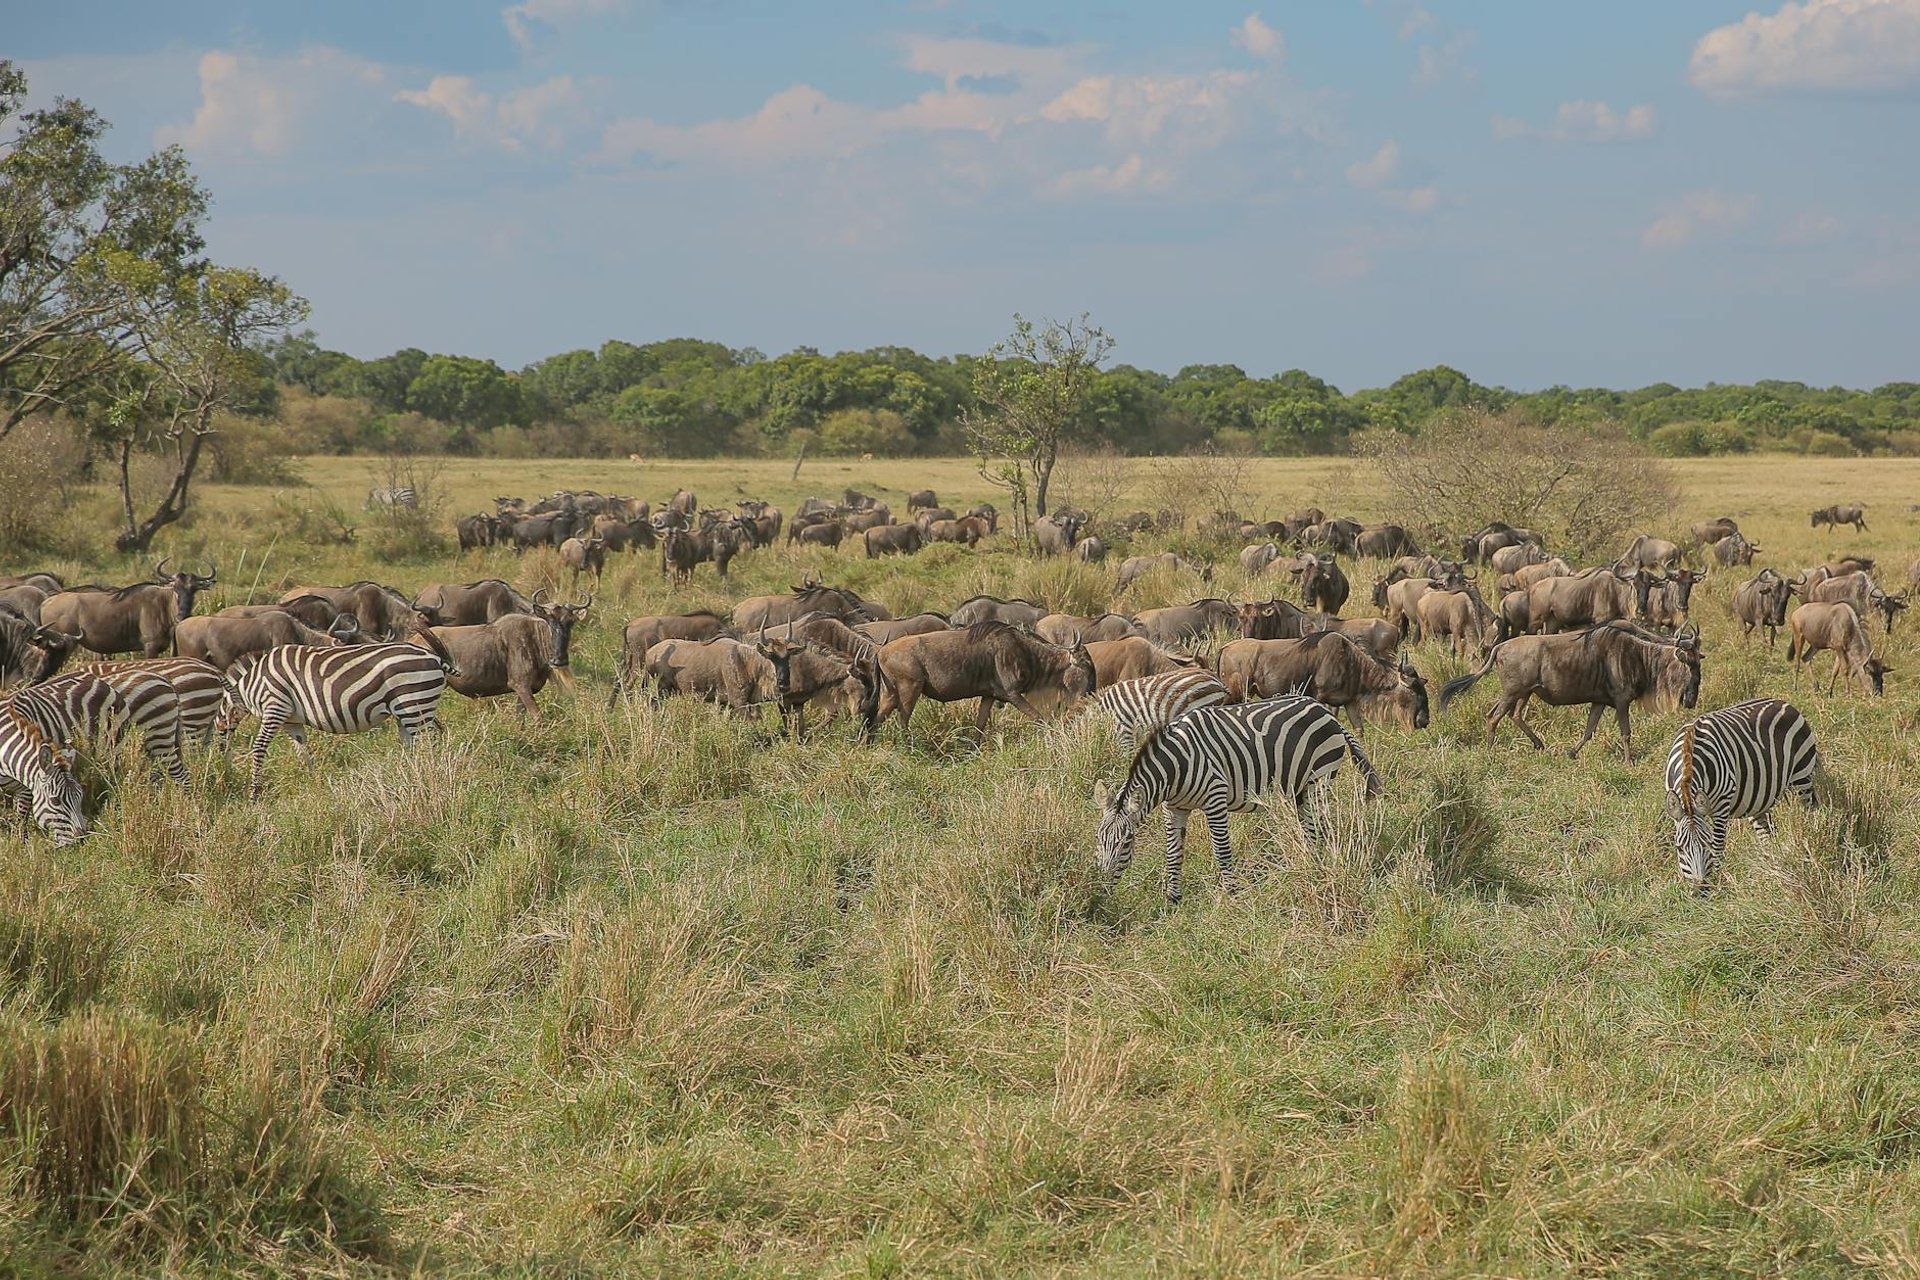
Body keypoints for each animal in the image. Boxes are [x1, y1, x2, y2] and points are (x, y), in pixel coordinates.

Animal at [0, 704, 86, 844]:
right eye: (55, 801)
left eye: (80, 796)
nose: (81, 841)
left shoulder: (24, 789)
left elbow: (21, 819)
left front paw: (21, 844)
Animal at [222, 635, 456, 798]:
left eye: (218, 712)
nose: (220, 758)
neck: (251, 684)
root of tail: (434, 657)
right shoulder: (291, 721)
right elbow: (302, 751)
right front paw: (313, 782)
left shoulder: (275, 707)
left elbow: (259, 747)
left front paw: (254, 793)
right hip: (413, 708)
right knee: (420, 743)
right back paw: (413, 776)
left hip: (413, 702)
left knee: (429, 745)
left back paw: (432, 776)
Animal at [1094, 694, 1381, 903]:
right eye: (1098, 838)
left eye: (1126, 842)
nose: (1100, 892)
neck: (1176, 766)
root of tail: (1327, 713)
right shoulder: (1174, 808)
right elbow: (1174, 852)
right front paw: (1173, 900)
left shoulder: (1215, 799)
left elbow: (1221, 850)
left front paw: (1232, 894)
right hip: (1301, 788)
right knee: (1310, 829)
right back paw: (1309, 864)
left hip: (1318, 780)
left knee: (1319, 827)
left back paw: (1319, 866)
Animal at [1665, 697, 1819, 893]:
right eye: (1679, 848)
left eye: (1706, 844)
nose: (1701, 890)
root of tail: (1782, 701)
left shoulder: (1722, 804)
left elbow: (1718, 846)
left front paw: (1720, 882)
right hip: (1758, 798)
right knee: (1766, 833)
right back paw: (1771, 864)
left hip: (1802, 775)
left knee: (1809, 812)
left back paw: (1811, 841)